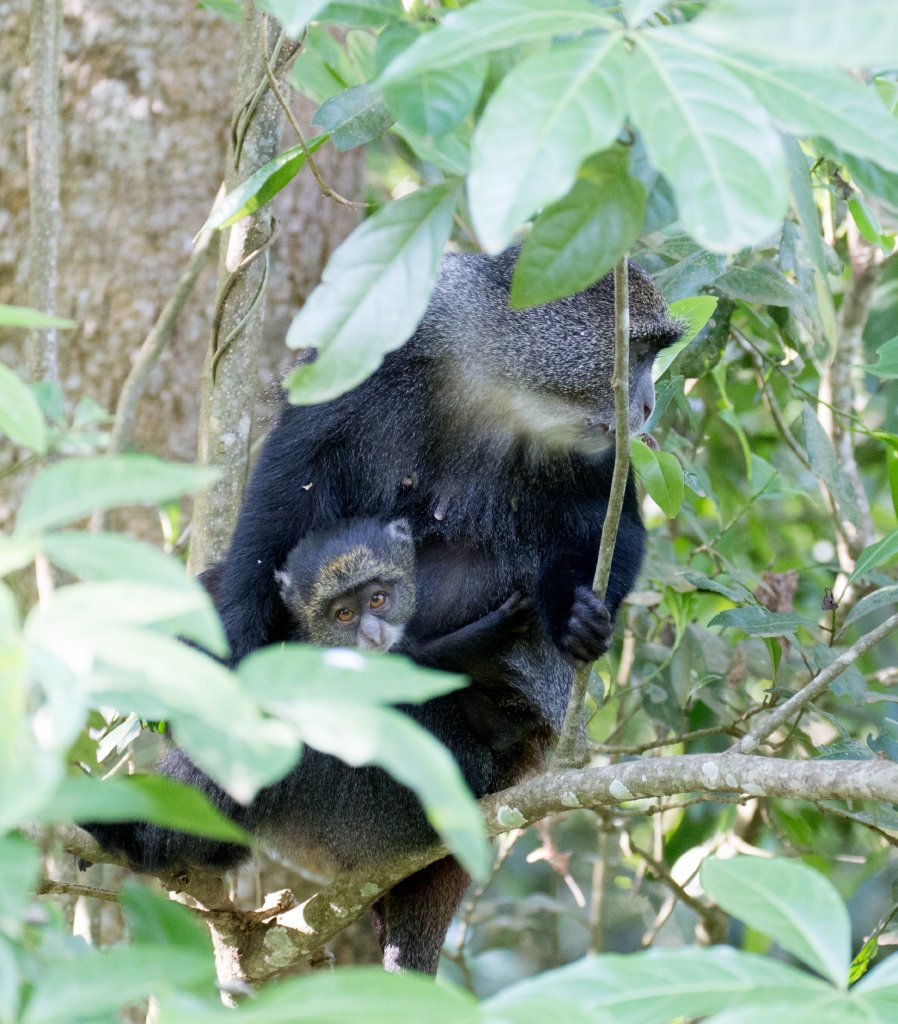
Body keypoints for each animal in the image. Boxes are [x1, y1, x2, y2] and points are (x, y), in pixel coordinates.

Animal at [85, 247, 682, 974]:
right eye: (638, 352)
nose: (646, 402)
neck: (499, 384)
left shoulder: (599, 456)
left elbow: (608, 530)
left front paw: (574, 615)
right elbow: (290, 479)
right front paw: (229, 635)